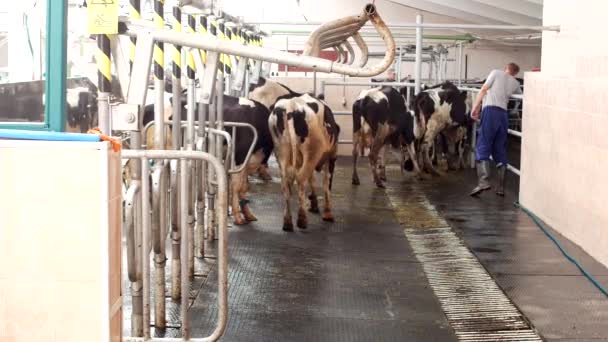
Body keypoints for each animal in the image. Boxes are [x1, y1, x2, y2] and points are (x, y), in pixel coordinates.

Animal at [268, 95, 340, 231]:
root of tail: (291, 106)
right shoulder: (331, 156)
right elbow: (326, 184)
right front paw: (327, 213)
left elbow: (312, 180)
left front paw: (314, 204)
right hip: (311, 153)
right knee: (301, 179)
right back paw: (302, 219)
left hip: (281, 151)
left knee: (286, 183)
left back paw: (287, 222)